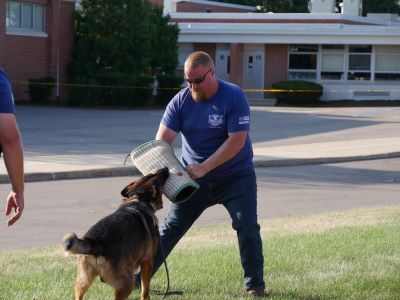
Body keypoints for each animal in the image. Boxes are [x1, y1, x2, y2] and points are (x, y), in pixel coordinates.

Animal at [62, 168, 169, 298]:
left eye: (151, 174)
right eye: (155, 175)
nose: (165, 169)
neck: (139, 198)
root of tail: (97, 243)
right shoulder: (147, 261)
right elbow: (145, 291)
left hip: (82, 282)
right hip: (126, 284)